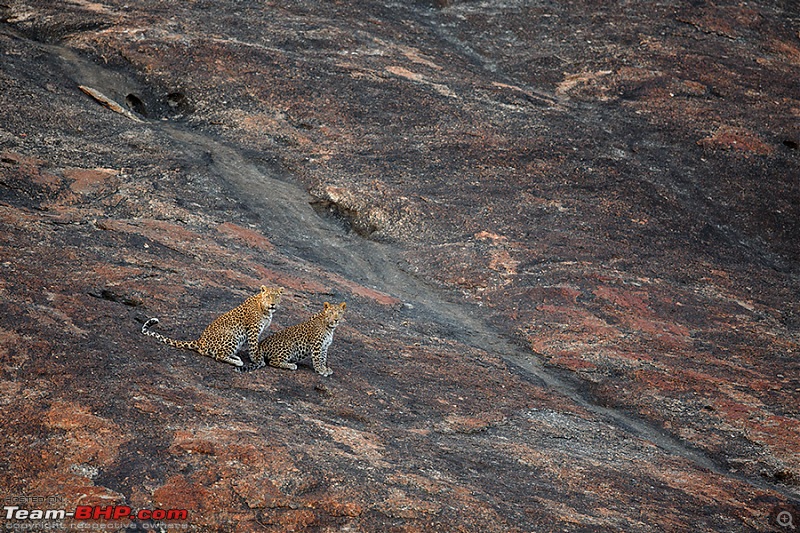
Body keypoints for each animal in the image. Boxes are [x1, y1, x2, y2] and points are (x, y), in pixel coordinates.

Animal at [141, 286, 284, 366]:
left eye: (277, 297)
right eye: (268, 296)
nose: (272, 304)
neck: (265, 310)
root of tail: (200, 341)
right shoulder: (253, 329)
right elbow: (254, 347)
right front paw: (257, 361)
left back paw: (235, 356)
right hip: (232, 336)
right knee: (218, 356)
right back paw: (237, 362)